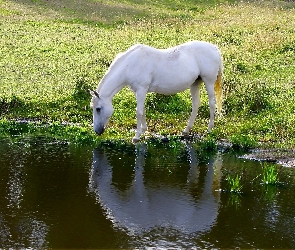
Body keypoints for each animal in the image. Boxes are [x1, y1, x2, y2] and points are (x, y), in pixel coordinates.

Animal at [89, 40, 223, 143]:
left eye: (98, 109)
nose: (97, 131)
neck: (130, 64)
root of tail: (214, 48)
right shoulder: (139, 91)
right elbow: (142, 110)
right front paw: (144, 130)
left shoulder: (141, 90)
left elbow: (138, 112)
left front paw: (136, 136)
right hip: (195, 83)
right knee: (196, 104)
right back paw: (186, 130)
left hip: (208, 82)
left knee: (212, 103)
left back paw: (209, 129)